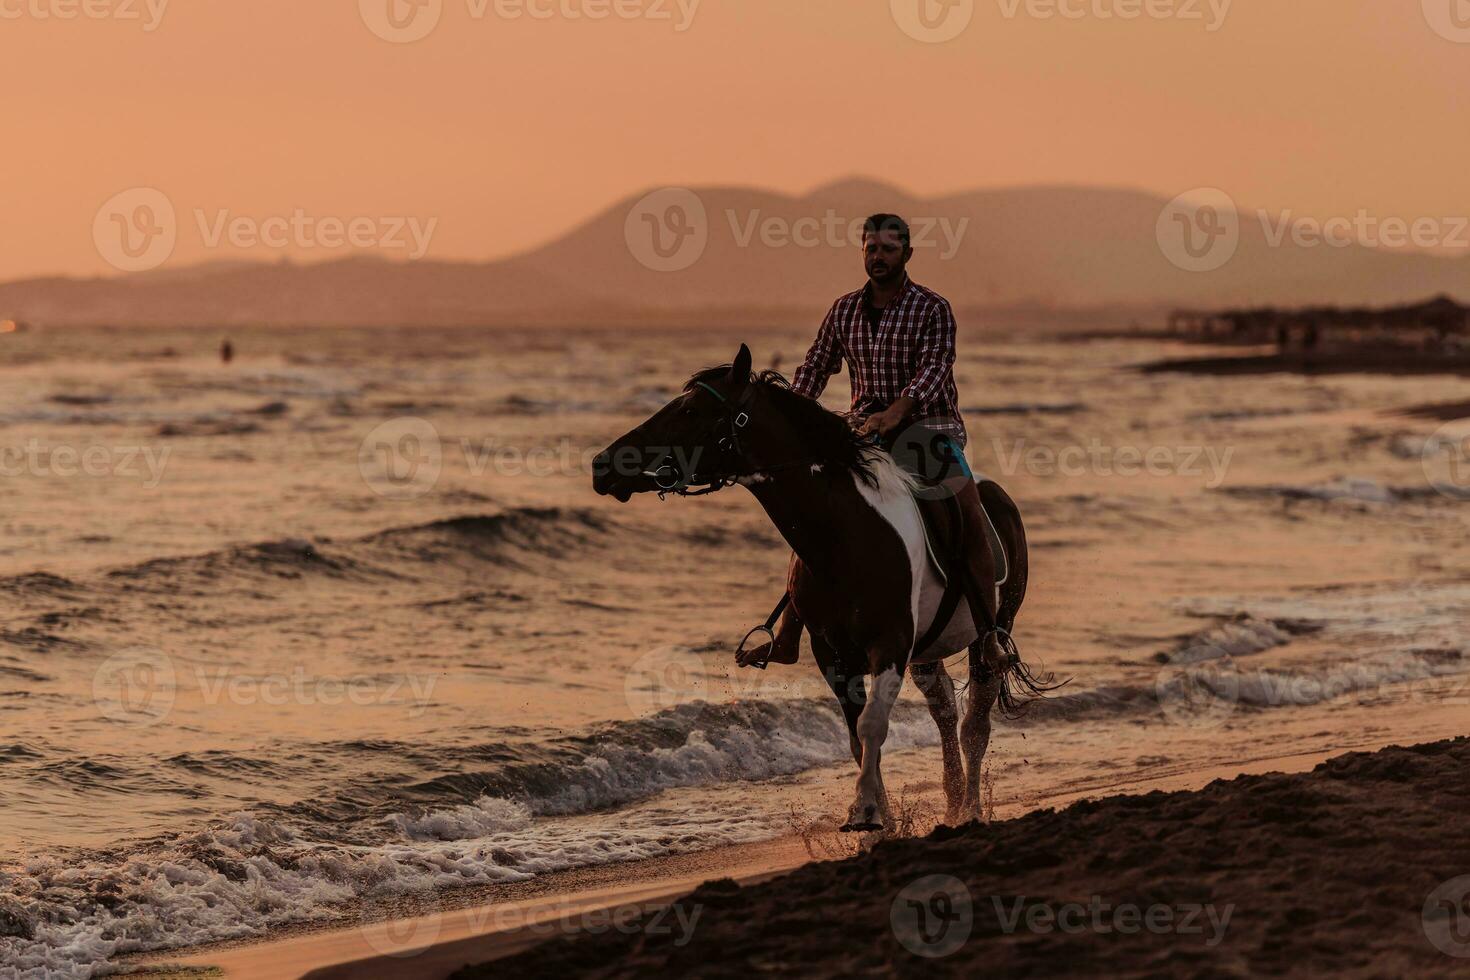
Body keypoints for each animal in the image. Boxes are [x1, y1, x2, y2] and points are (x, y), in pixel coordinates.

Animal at [588, 348, 1046, 834]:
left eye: (690, 410)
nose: (602, 464)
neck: (845, 533)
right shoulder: (834, 655)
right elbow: (858, 740)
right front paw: (877, 824)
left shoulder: (890, 644)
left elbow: (872, 727)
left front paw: (865, 813)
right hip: (927, 649)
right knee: (942, 707)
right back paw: (954, 802)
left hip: (989, 630)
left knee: (975, 718)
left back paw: (970, 810)